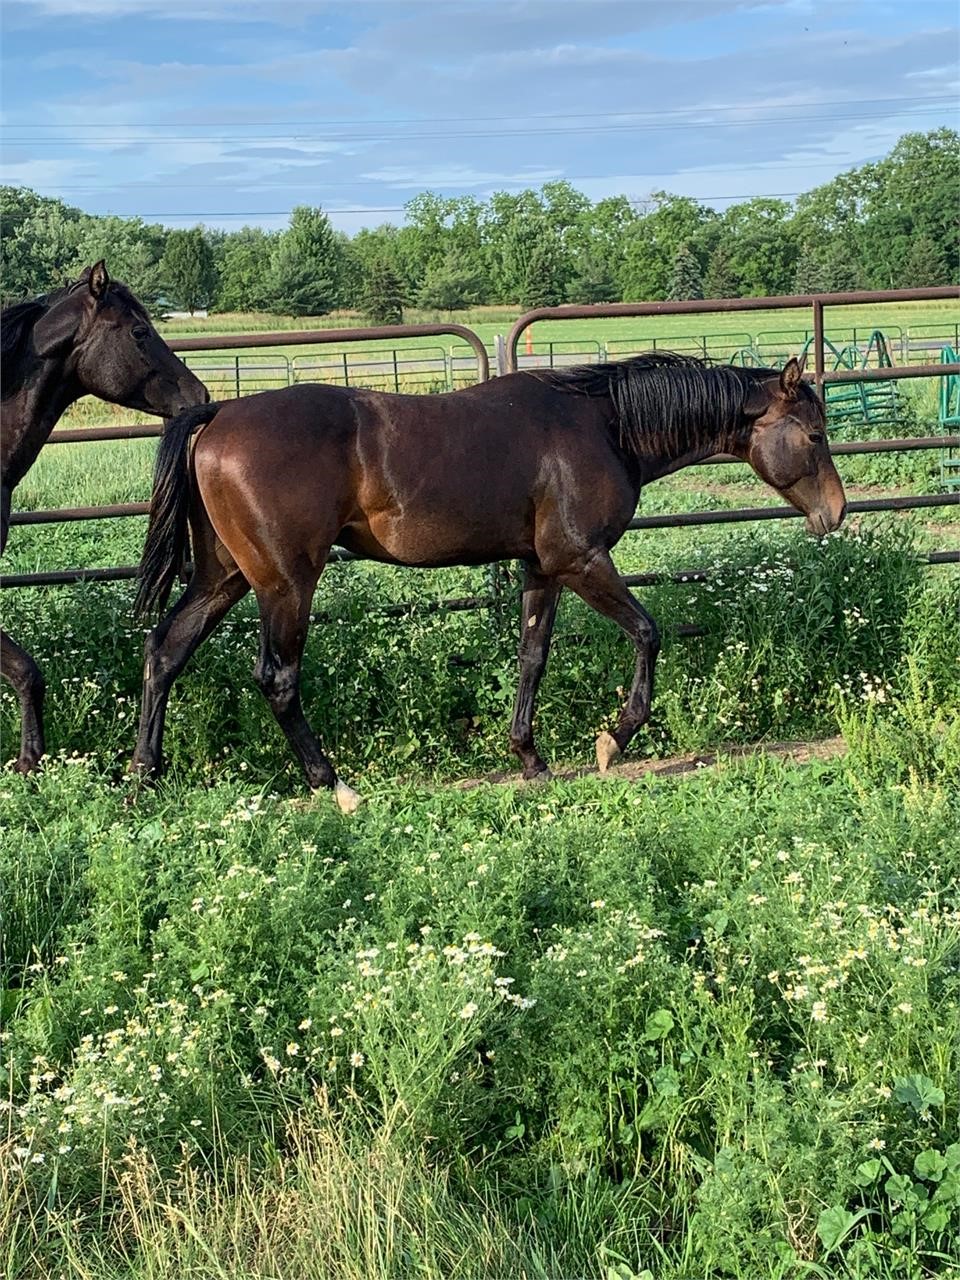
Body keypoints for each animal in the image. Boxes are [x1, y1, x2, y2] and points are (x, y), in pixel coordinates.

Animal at [131, 350, 844, 808]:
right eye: (814, 434)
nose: (835, 513)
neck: (604, 426)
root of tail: (219, 418)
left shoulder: (542, 569)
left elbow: (533, 656)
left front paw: (529, 757)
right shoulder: (581, 560)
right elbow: (647, 632)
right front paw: (614, 739)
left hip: (224, 576)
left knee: (165, 651)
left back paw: (144, 777)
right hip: (285, 583)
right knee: (276, 679)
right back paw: (334, 785)